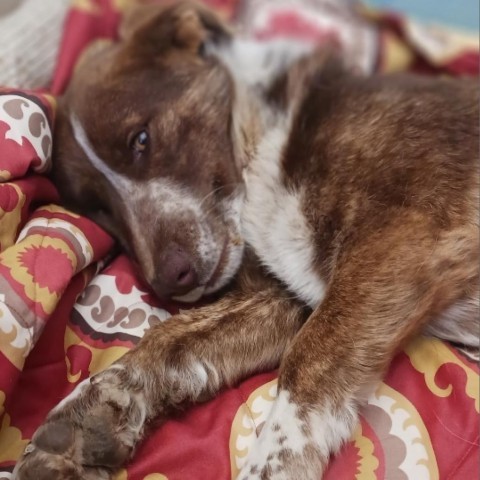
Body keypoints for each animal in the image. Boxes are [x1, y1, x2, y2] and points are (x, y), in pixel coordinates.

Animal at [13, 1, 478, 478]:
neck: (262, 142)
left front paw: (270, 464)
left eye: (141, 139)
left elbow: (308, 358)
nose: (170, 281)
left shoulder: (410, 229)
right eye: (99, 212)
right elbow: (174, 337)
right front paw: (98, 405)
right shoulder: (290, 298)